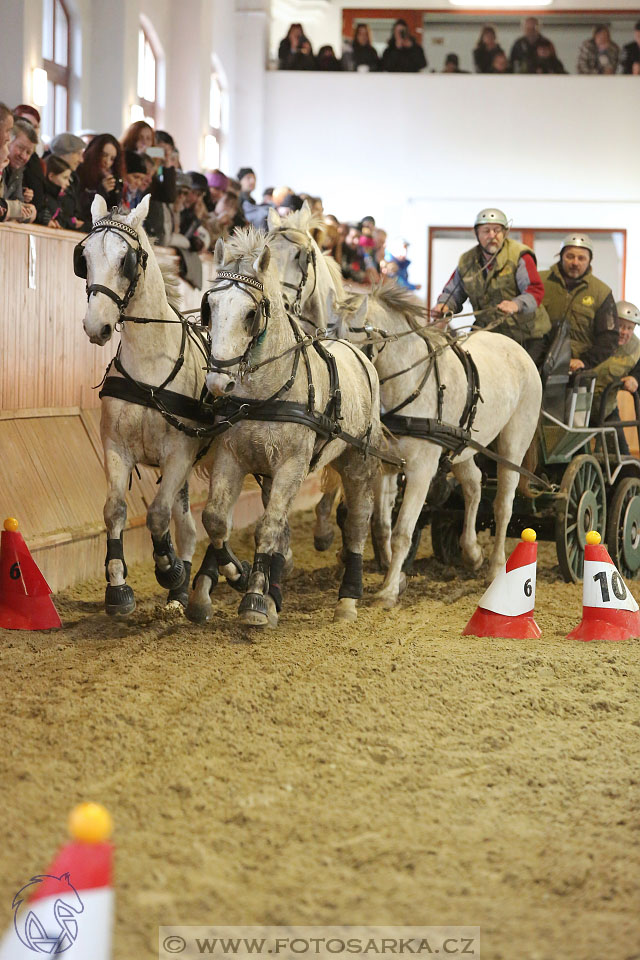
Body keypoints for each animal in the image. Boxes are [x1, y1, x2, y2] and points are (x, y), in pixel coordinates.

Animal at [79, 195, 230, 616]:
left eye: (125, 260)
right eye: (85, 257)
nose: (95, 327)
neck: (149, 367)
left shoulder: (178, 453)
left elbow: (158, 514)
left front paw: (169, 569)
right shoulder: (115, 447)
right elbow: (114, 509)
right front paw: (118, 586)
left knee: (215, 520)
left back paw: (214, 577)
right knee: (193, 526)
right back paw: (186, 592)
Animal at [188, 228, 382, 628]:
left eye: (250, 313)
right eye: (210, 307)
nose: (218, 382)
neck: (264, 393)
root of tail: (357, 351)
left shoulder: (291, 464)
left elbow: (268, 527)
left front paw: (255, 600)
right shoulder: (233, 457)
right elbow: (216, 519)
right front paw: (236, 576)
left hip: (358, 460)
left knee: (357, 521)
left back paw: (348, 598)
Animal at [340, 280, 540, 608]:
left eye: (347, 341)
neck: (408, 382)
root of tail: (517, 349)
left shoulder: (421, 470)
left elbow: (402, 532)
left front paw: (388, 591)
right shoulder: (386, 465)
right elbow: (382, 526)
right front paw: (393, 575)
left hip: (514, 443)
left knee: (503, 505)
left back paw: (496, 567)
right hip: (464, 447)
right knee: (473, 486)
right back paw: (471, 553)